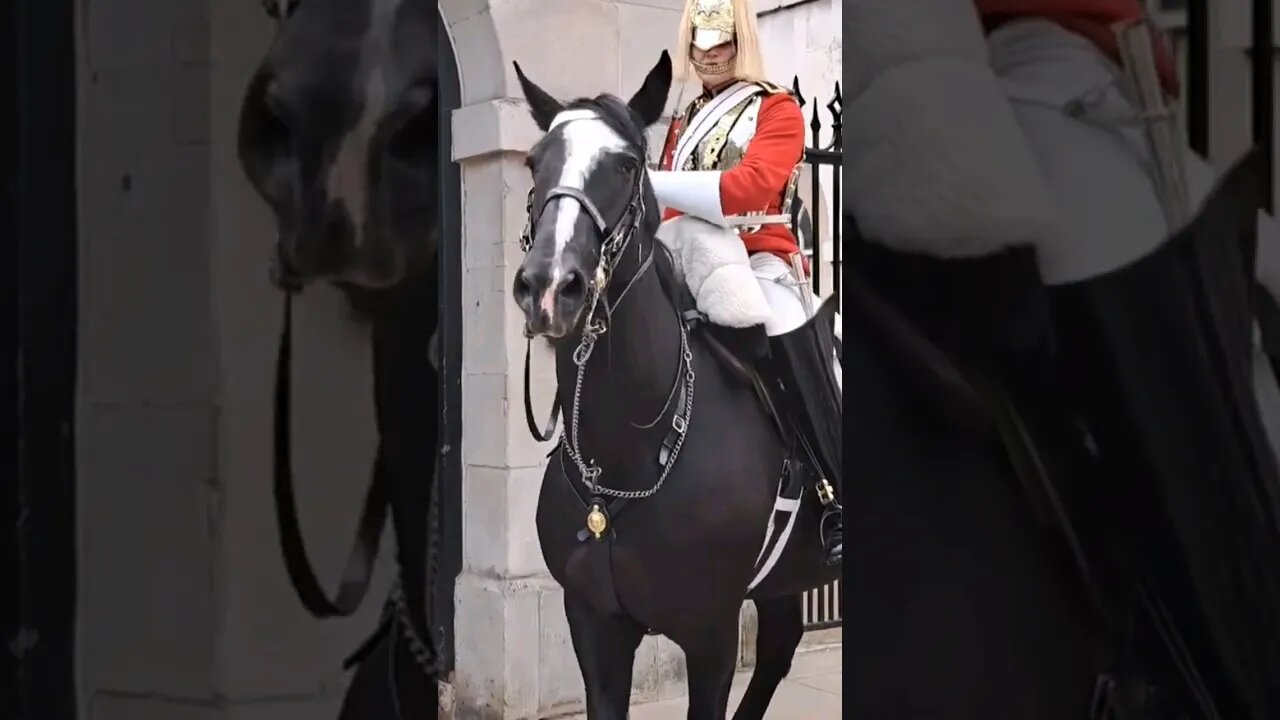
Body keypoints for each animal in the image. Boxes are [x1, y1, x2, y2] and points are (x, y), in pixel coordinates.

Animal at [504, 53, 844, 712]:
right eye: (535, 161)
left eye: (626, 165)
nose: (550, 287)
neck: (630, 451)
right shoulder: (594, 627)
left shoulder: (710, 632)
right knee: (780, 645)